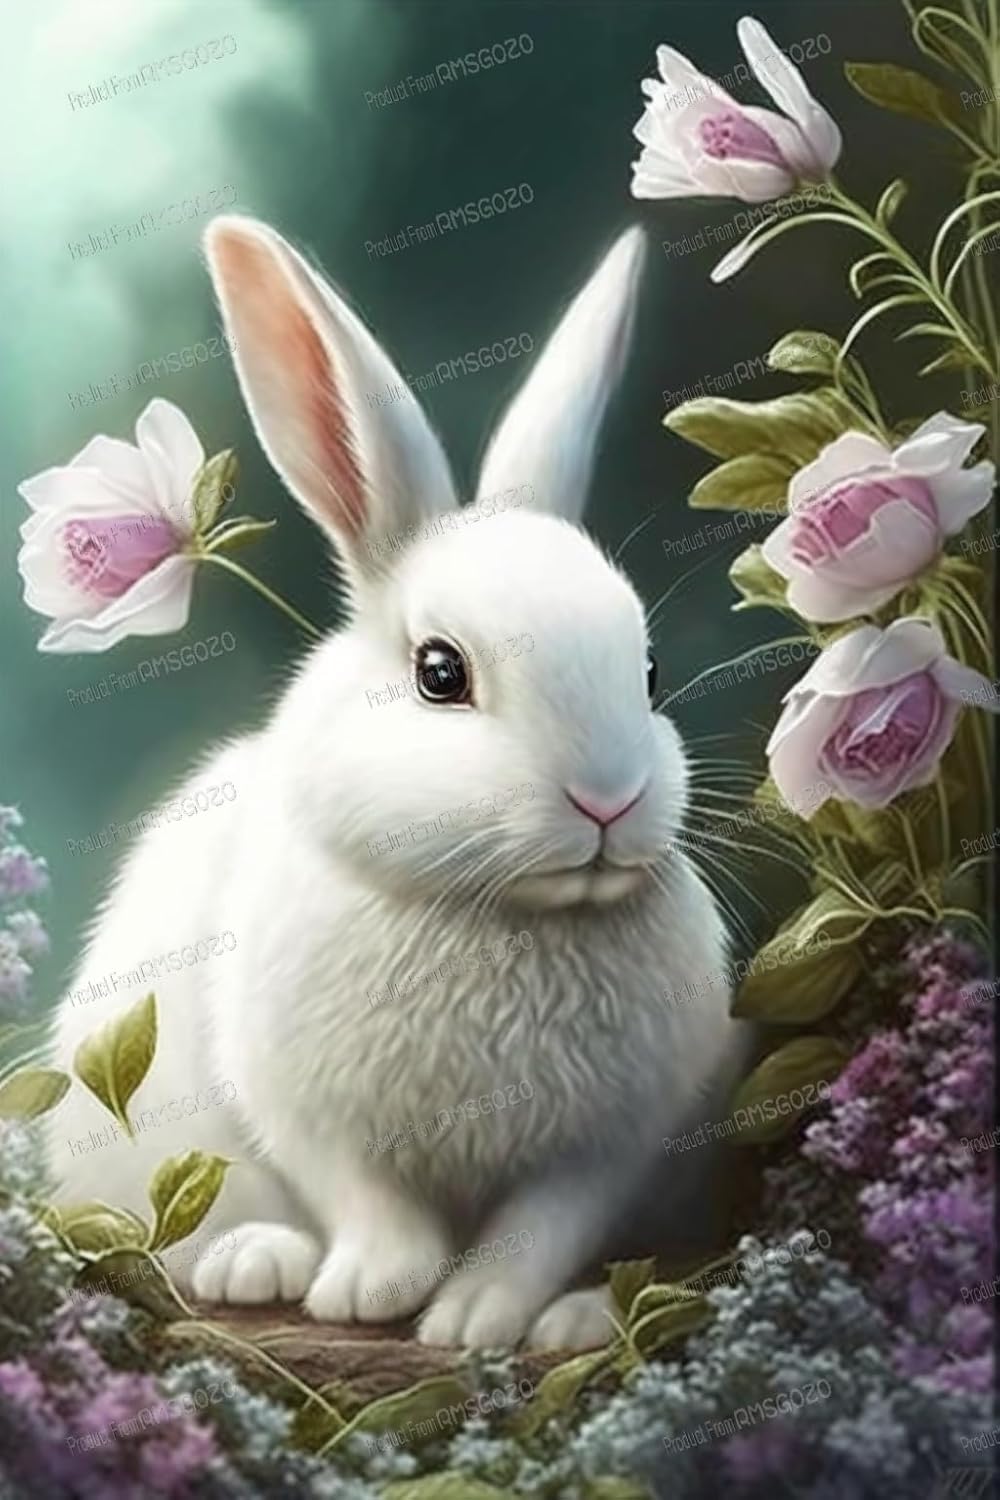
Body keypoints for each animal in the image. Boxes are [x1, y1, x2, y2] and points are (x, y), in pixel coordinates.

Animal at [46, 214, 748, 1351]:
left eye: (647, 674)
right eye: (439, 673)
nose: (608, 800)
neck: (497, 913)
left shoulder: (612, 1145)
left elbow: (543, 1227)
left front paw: (475, 1320)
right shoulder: (304, 1114)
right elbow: (368, 1202)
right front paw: (374, 1289)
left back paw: (582, 1320)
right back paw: (258, 1262)